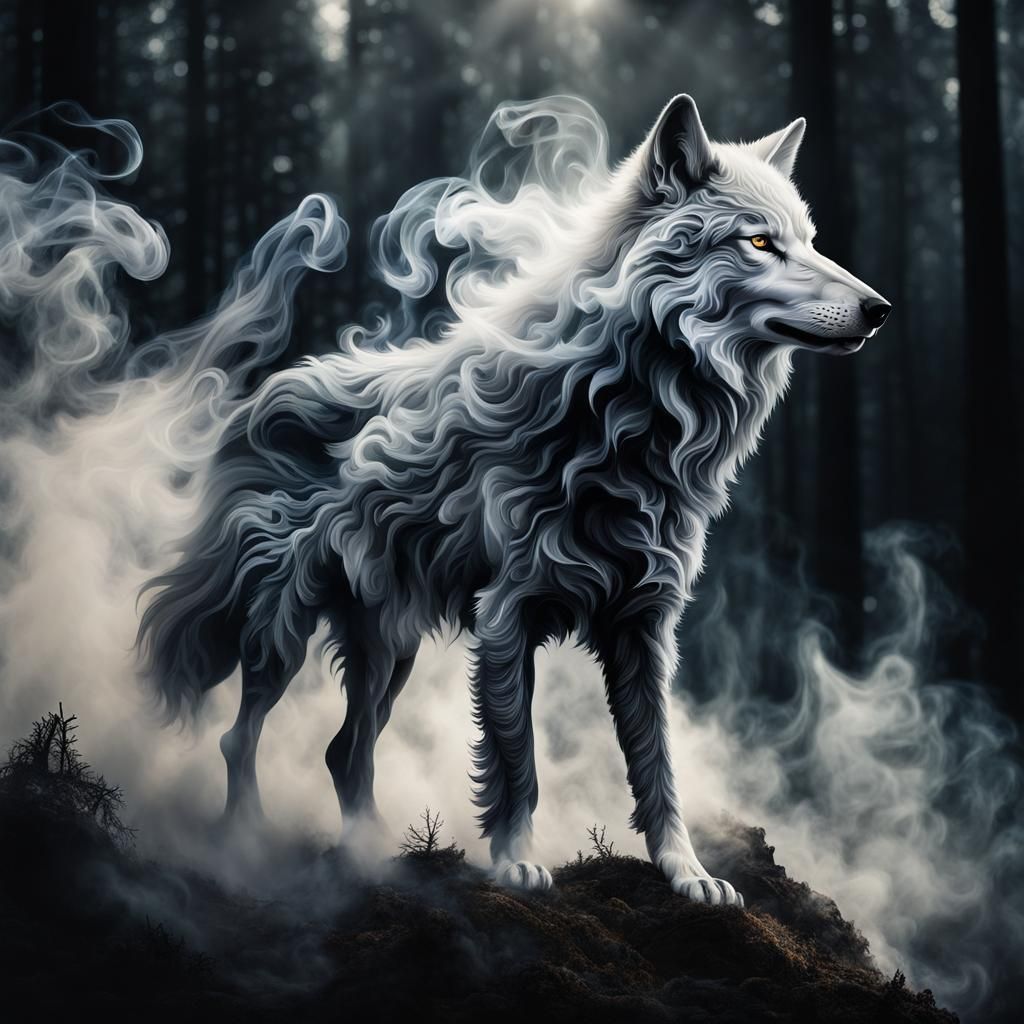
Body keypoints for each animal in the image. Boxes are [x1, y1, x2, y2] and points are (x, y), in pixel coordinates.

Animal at [138, 94, 890, 904]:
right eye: (759, 242)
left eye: (810, 242)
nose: (880, 308)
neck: (628, 416)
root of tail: (261, 396)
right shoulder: (506, 618)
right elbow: (517, 760)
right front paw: (515, 863)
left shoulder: (646, 627)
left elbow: (659, 767)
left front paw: (687, 874)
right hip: (281, 635)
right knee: (238, 736)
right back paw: (246, 844)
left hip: (390, 650)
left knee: (345, 752)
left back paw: (370, 859)